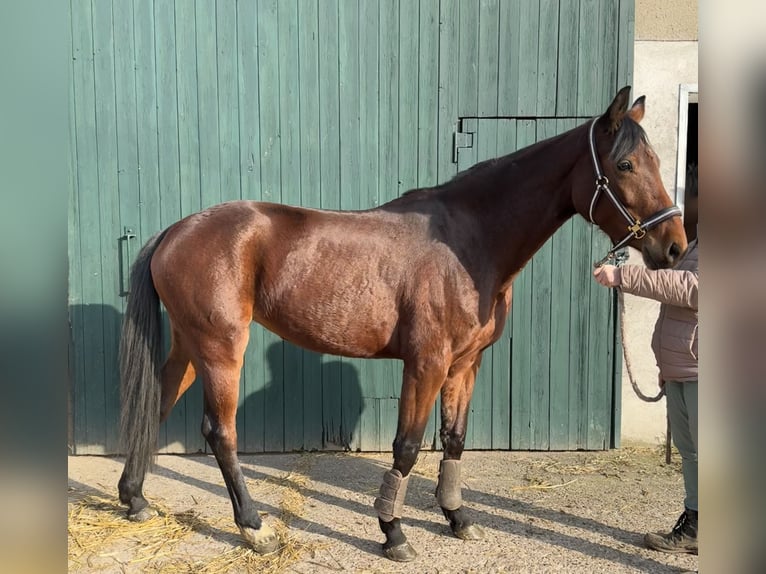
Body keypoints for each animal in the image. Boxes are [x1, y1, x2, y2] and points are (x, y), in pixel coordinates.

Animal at [118, 86, 688, 564]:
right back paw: (254, 527)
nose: (675, 247)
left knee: (157, 404)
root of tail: (175, 231)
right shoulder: (426, 364)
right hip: (221, 348)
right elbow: (408, 447)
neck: (469, 242)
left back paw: (135, 498)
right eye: (624, 163)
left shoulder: (464, 365)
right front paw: (393, 533)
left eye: (657, 162)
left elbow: (454, 440)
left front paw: (458, 518)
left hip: (190, 347)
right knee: (221, 432)